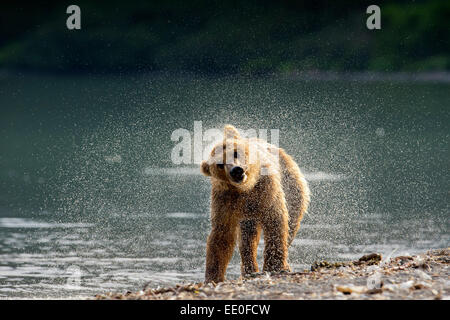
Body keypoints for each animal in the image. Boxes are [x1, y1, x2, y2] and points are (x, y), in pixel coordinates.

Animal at [200, 125, 310, 282]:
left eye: (235, 153)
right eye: (220, 164)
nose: (236, 170)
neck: (246, 188)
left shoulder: (266, 190)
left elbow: (275, 221)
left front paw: (274, 266)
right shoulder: (224, 200)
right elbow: (221, 235)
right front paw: (213, 276)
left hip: (292, 186)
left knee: (291, 224)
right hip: (248, 216)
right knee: (247, 238)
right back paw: (249, 270)